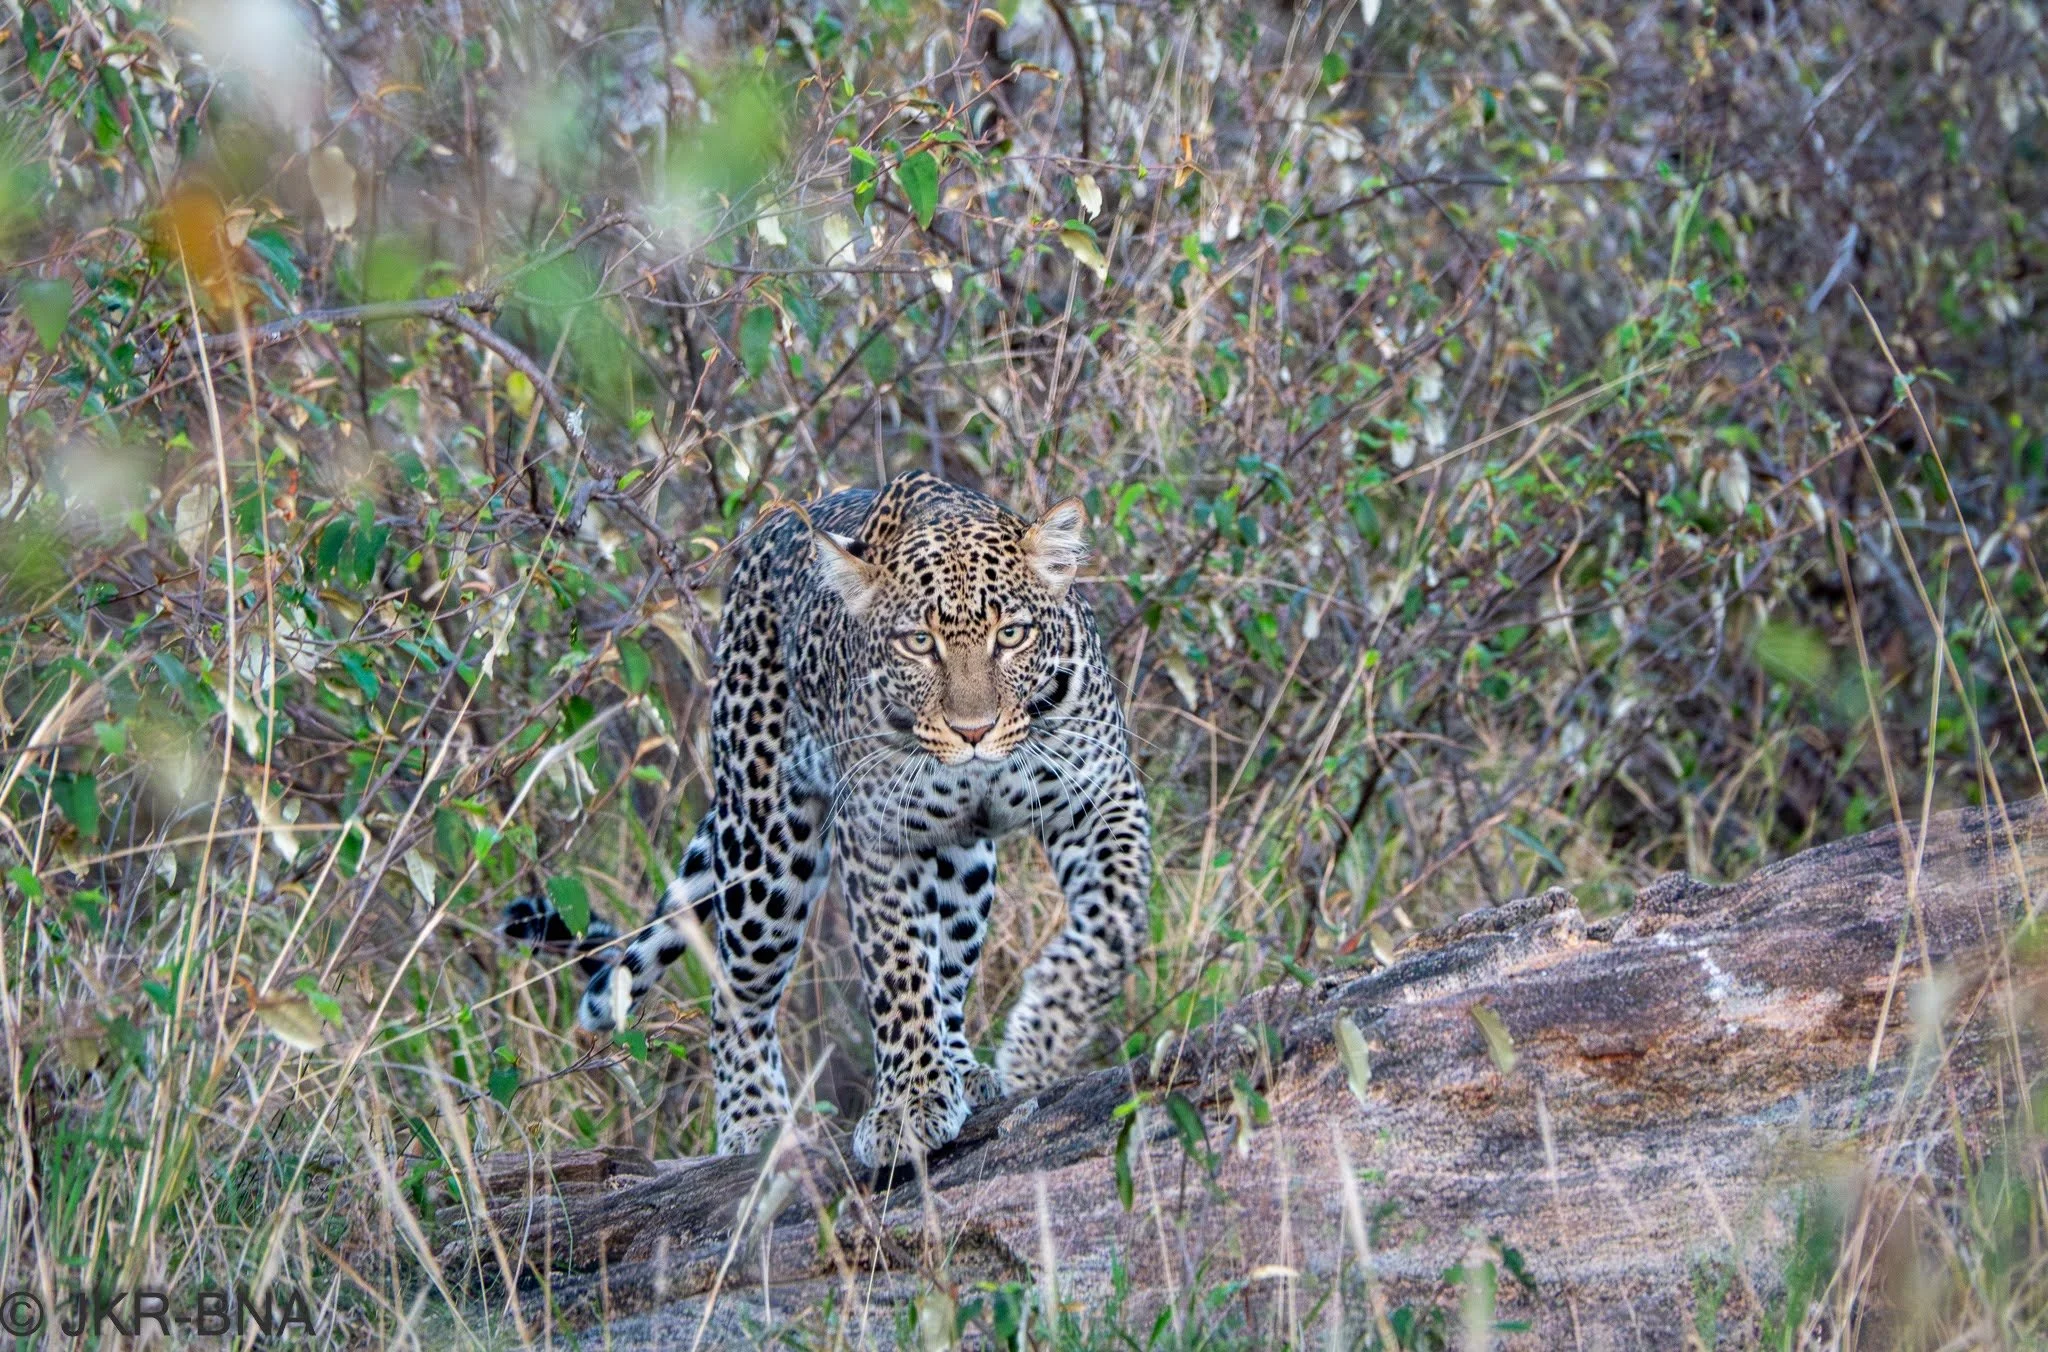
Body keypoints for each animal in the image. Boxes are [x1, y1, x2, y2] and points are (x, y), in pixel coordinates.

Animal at [515, 471, 1151, 1170]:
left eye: (1011, 635)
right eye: (918, 643)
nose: (973, 731)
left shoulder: (1102, 795)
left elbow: (1115, 924)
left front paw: (1039, 1040)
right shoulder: (874, 836)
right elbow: (897, 969)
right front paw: (910, 1104)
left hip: (963, 866)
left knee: (950, 970)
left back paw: (965, 1070)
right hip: (766, 848)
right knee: (737, 989)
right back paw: (756, 1123)